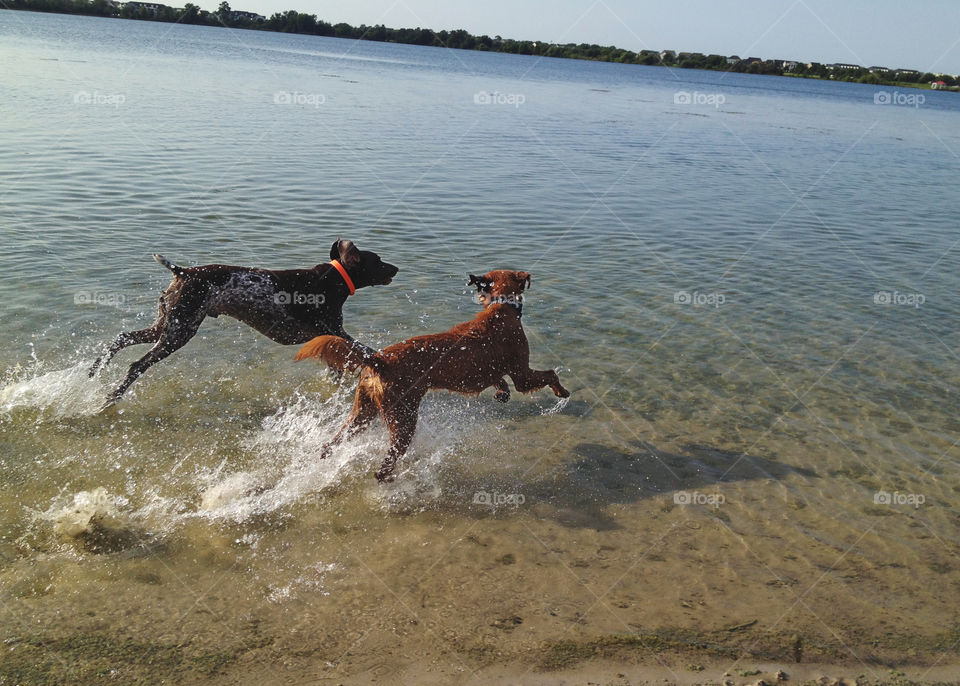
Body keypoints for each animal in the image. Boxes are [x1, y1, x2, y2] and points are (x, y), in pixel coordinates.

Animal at [296, 270, 568, 484]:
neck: (500, 308)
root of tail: (379, 361)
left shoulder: (491, 371)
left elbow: (499, 381)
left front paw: (502, 393)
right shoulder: (522, 374)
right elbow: (549, 374)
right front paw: (562, 391)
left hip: (362, 411)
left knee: (331, 445)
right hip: (403, 418)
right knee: (383, 467)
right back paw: (393, 479)